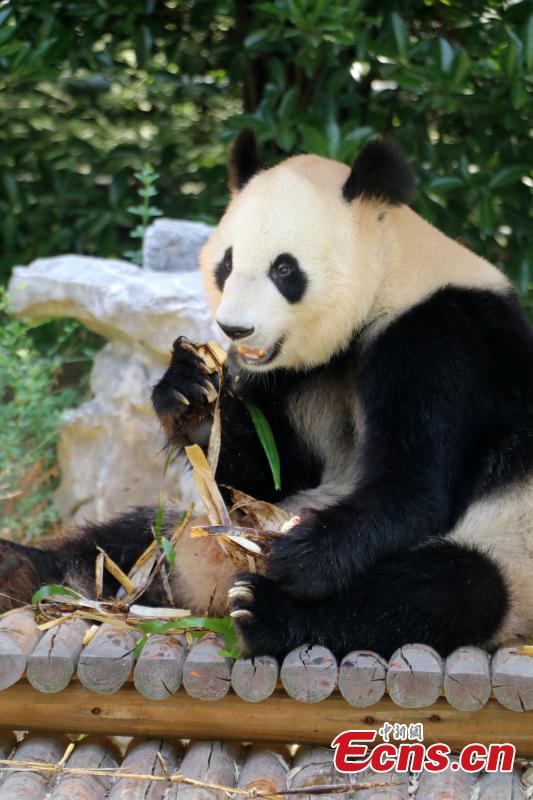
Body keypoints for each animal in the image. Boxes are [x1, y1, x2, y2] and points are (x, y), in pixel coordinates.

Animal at [1, 129, 532, 661]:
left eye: (284, 269)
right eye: (227, 262)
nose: (235, 328)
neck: (389, 275)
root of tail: (206, 590)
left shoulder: (441, 341)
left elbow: (412, 489)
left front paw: (301, 552)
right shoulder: (295, 376)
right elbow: (266, 472)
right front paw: (191, 395)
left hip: (509, 551)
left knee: (448, 590)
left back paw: (265, 612)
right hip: (184, 531)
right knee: (133, 535)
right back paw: (26, 567)